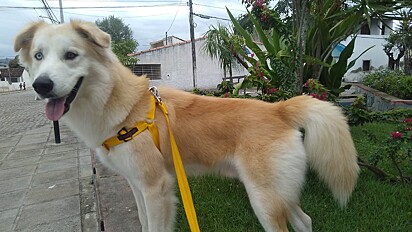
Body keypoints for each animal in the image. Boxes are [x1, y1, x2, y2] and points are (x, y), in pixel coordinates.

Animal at [14, 20, 358, 231]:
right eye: (39, 56)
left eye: (71, 55)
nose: (41, 85)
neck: (119, 105)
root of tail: (279, 109)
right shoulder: (137, 185)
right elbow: (142, 222)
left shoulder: (156, 188)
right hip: (279, 193)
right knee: (305, 221)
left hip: (264, 199)